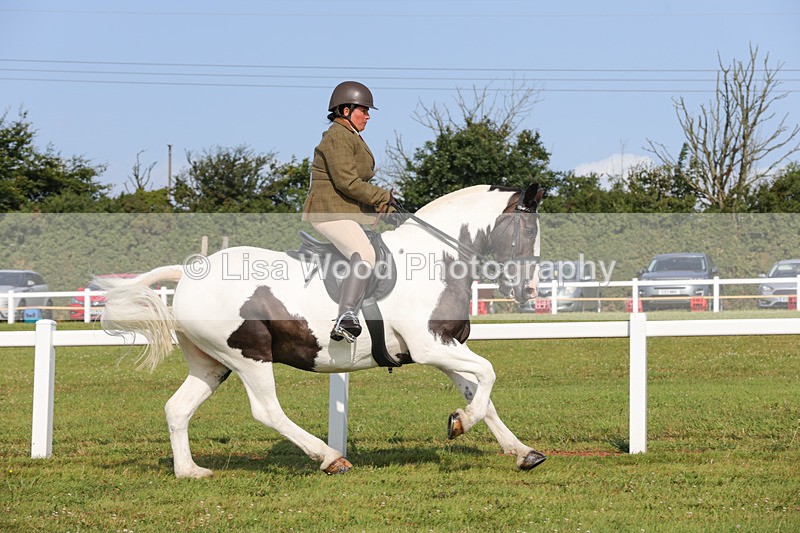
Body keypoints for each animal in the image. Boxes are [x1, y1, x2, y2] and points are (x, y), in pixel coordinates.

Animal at [98, 183, 546, 477]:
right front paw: (460, 423)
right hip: (248, 355)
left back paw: (190, 471)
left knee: (178, 408)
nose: (527, 291)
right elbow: (488, 372)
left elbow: (481, 395)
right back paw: (331, 458)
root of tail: (188, 273)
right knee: (266, 410)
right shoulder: (429, 346)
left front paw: (521, 451)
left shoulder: (445, 346)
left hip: (212, 363)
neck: (437, 258)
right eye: (527, 232)